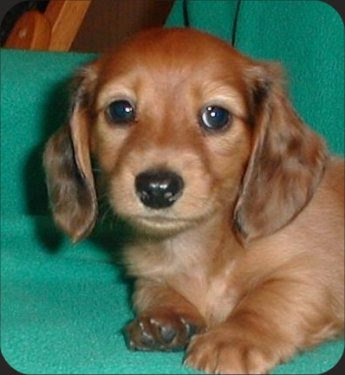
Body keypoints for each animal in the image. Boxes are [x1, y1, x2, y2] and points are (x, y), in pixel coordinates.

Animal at [44, 27, 342, 374]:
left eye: (216, 115)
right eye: (120, 110)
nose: (157, 187)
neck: (203, 248)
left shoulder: (314, 276)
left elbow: (270, 299)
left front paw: (233, 337)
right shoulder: (148, 277)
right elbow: (153, 290)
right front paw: (165, 318)